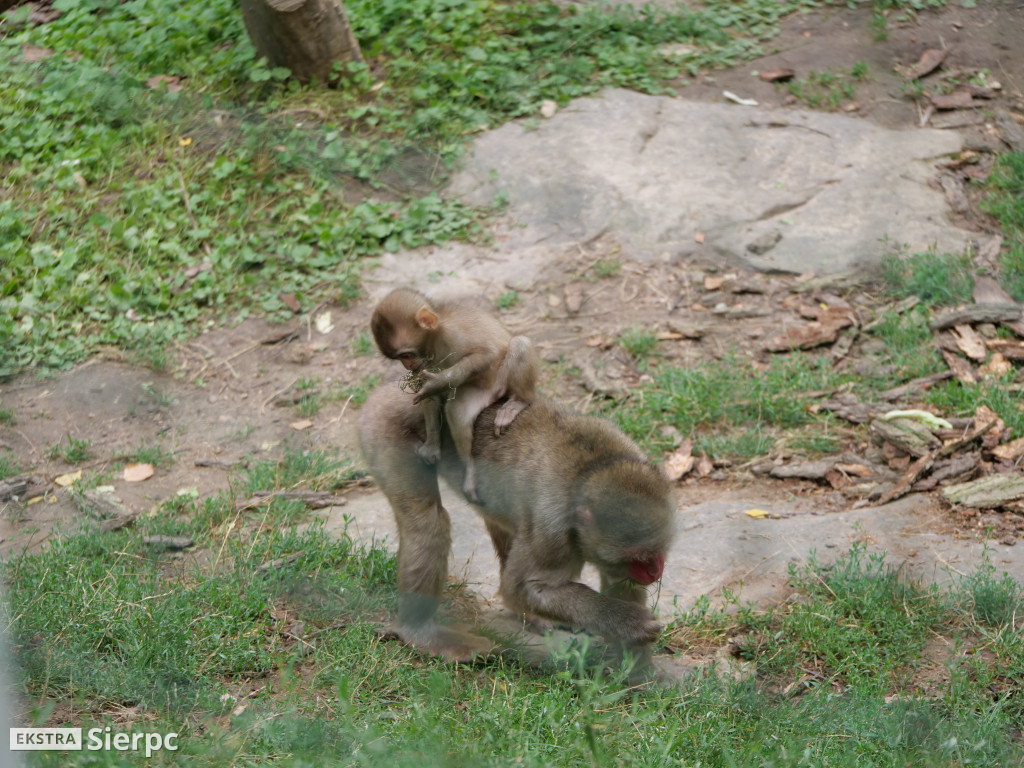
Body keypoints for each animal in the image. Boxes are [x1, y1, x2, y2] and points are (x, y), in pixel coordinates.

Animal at [360, 387, 679, 671]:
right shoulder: (552, 529)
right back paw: (420, 630)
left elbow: (622, 585)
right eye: (638, 559)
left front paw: (637, 672)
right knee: (428, 522)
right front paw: (628, 622)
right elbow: (521, 587)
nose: (655, 571)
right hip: (386, 428)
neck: (590, 471)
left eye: (655, 553)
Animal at [370, 288, 544, 499]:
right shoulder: (426, 362)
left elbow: (486, 355)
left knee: (520, 344)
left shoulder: (453, 334)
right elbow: (430, 399)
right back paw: (469, 470)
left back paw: (518, 402)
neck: (435, 337)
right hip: (482, 392)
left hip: (503, 378)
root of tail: (498, 392)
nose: (407, 365)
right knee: (457, 411)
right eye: (399, 358)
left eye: (406, 355)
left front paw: (437, 382)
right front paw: (432, 446)